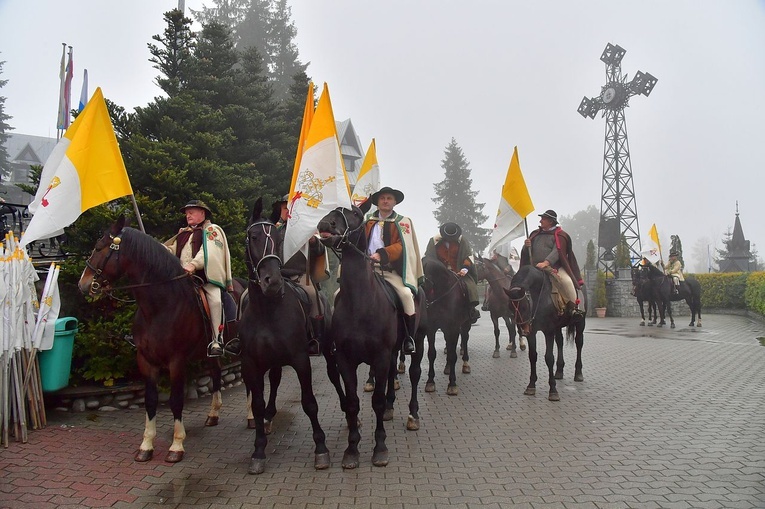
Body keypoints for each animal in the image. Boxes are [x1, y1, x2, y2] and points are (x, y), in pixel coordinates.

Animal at [77, 216, 237, 462]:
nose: (83, 284)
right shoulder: (146, 360)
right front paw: (146, 445)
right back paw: (213, 414)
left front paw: (177, 445)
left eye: (99, 247)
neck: (159, 307)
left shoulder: (176, 361)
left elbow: (176, 400)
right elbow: (150, 400)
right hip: (210, 352)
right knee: (217, 373)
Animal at [239, 197, 340, 472]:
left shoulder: (301, 359)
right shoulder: (251, 363)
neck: (268, 310)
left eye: (276, 237)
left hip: (328, 352)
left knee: (336, 377)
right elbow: (257, 404)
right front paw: (258, 451)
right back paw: (270, 418)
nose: (272, 282)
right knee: (274, 381)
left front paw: (321, 448)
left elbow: (310, 403)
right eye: (253, 236)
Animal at [314, 203, 426, 468]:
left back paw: (412, 415)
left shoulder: (380, 356)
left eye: (354, 214)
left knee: (415, 373)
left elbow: (376, 401)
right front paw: (352, 450)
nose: (325, 224)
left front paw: (380, 448)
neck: (361, 303)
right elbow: (353, 402)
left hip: (419, 339)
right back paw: (391, 407)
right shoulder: (345, 359)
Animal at [418, 256, 472, 394]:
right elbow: (431, 354)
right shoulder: (431, 329)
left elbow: (453, 355)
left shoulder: (453, 328)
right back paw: (447, 367)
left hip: (464, 324)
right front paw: (430, 382)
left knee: (465, 338)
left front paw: (452, 384)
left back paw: (465, 364)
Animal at [508, 264, 584, 398]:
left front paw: (553, 390)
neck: (539, 293)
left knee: (579, 343)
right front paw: (531, 385)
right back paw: (559, 371)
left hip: (580, 323)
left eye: (524, 306)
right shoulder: (532, 333)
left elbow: (549, 358)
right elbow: (532, 356)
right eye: (510, 307)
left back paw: (578, 373)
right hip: (557, 327)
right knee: (560, 342)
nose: (522, 330)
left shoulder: (548, 331)